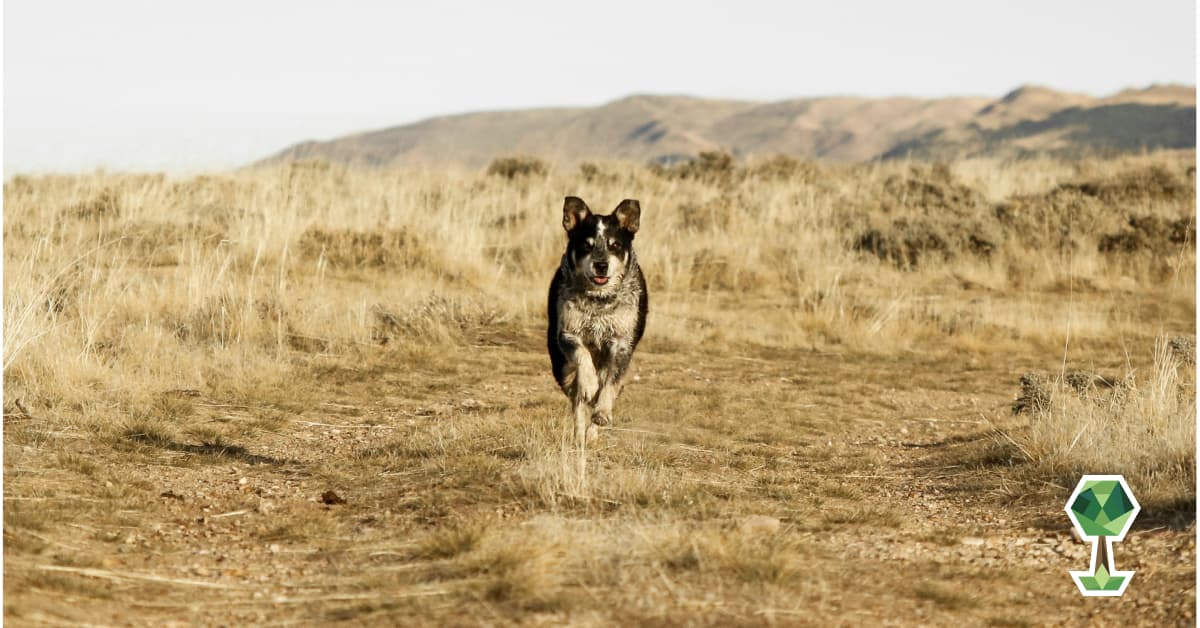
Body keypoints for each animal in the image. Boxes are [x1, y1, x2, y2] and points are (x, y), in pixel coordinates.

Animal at [549, 196, 652, 465]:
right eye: (586, 245)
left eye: (615, 245)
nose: (601, 265)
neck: (599, 301)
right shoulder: (567, 334)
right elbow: (582, 358)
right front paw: (588, 383)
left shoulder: (621, 343)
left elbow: (610, 385)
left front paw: (603, 412)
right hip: (562, 368)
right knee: (576, 399)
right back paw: (580, 433)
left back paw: (594, 428)